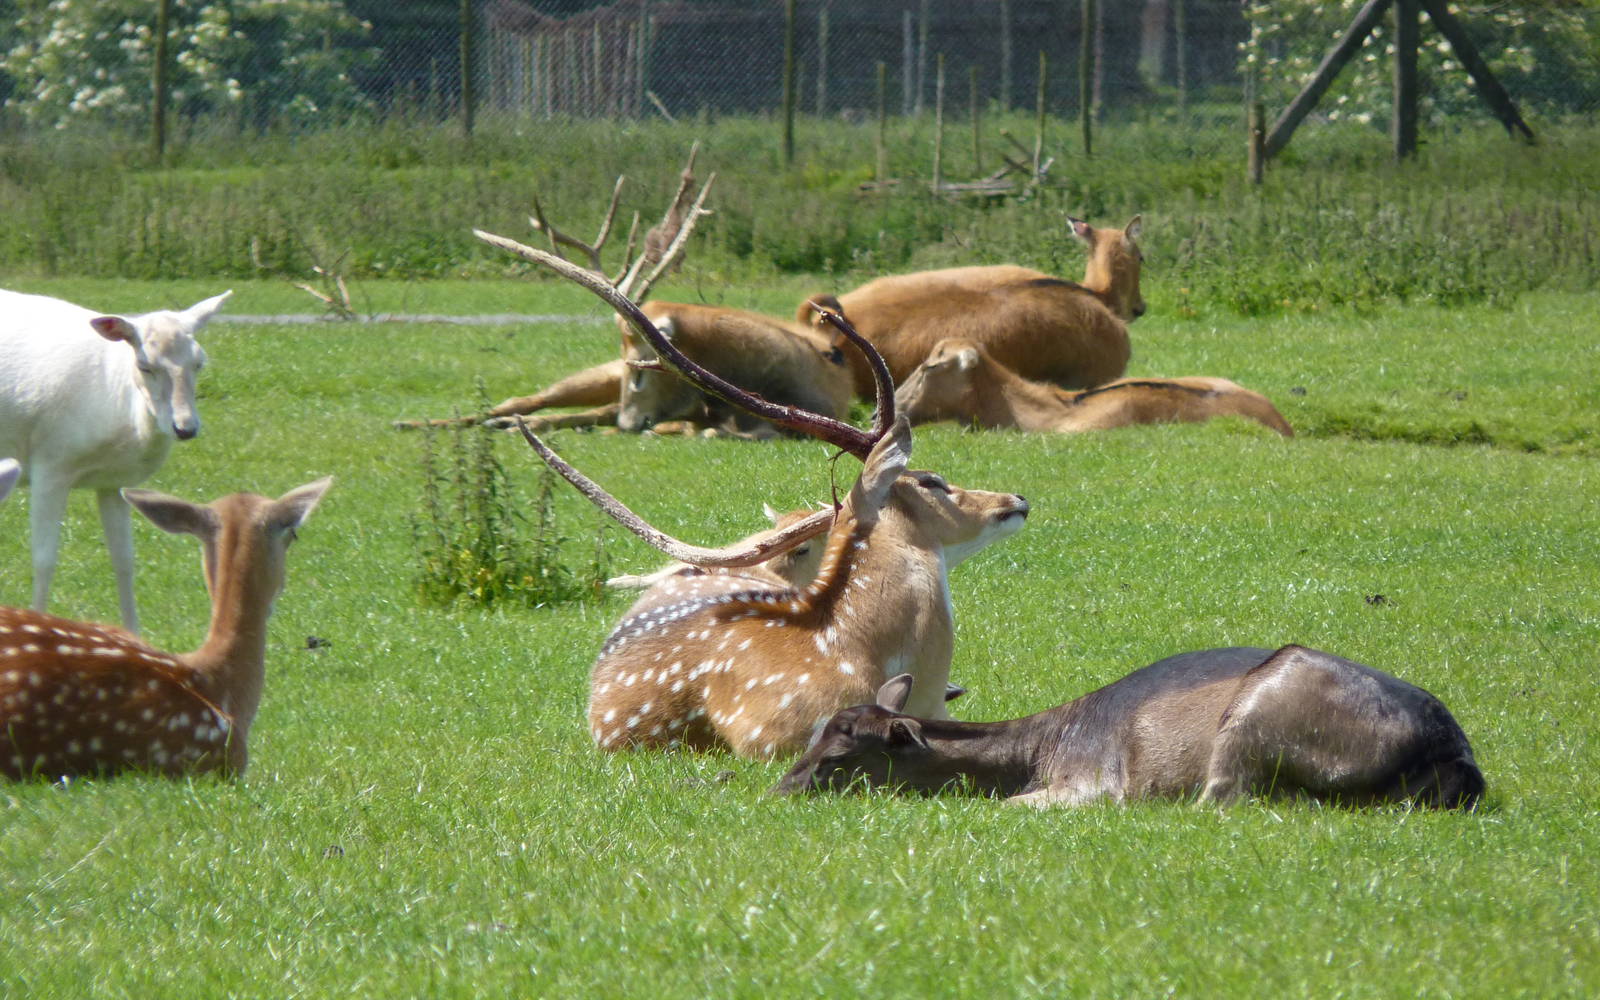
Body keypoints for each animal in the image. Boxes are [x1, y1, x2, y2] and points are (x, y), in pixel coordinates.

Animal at [0, 288, 233, 633]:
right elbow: (44, 559)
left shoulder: (114, 481)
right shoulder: (50, 464)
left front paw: (134, 634)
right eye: (144, 364)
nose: (185, 428)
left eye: (199, 362)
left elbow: (124, 559)